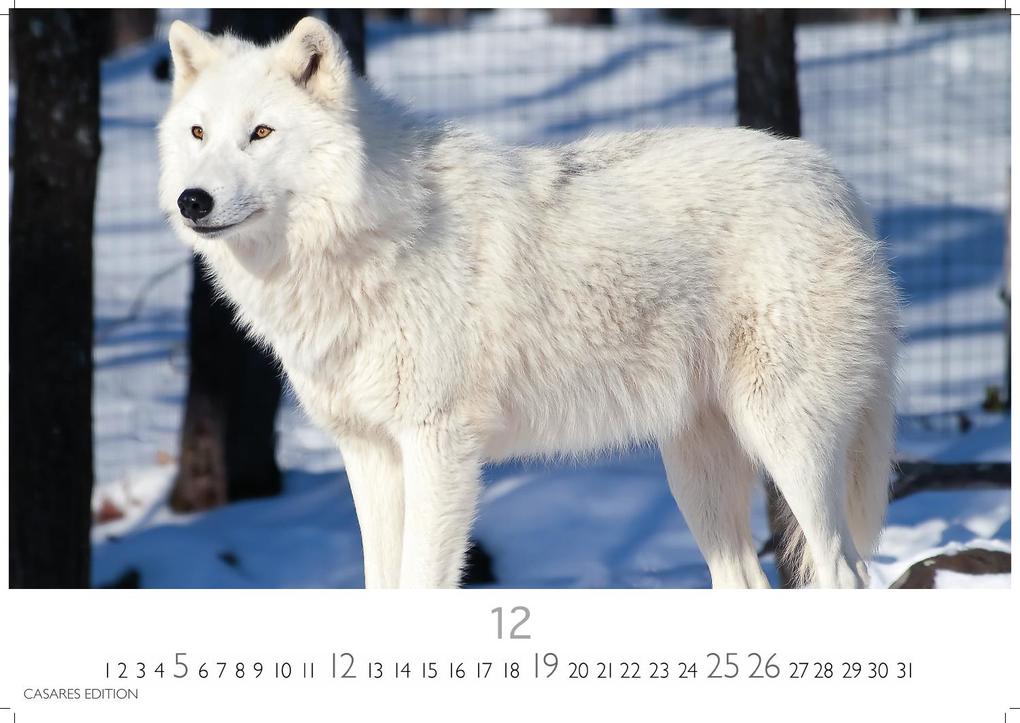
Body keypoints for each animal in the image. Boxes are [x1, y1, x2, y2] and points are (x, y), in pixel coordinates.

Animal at [158, 17, 899, 589]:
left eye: (260, 133)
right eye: (198, 134)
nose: (192, 200)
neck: (363, 238)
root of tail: (836, 182)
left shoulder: (439, 448)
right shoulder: (368, 453)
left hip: (786, 442)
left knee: (847, 572)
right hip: (696, 471)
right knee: (745, 581)